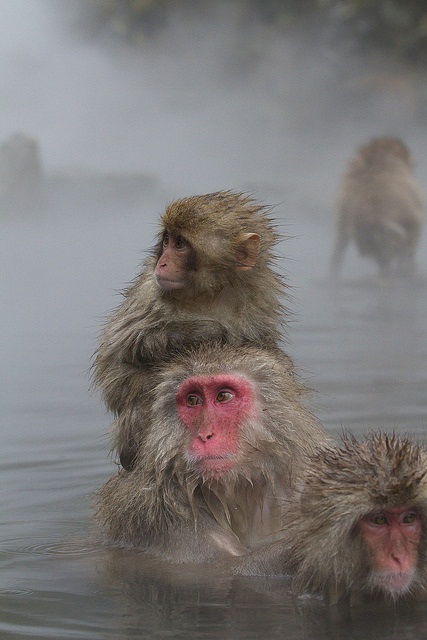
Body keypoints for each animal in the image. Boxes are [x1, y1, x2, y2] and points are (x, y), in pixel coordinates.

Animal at [94, 191, 287, 469]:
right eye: (167, 240)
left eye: (180, 244)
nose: (162, 263)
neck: (214, 292)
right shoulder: (149, 293)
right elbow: (120, 355)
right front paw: (212, 331)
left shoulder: (261, 299)